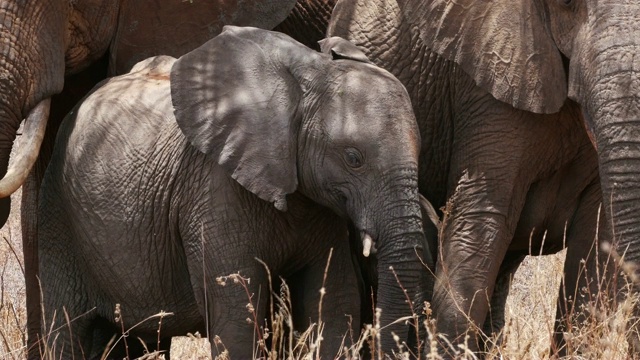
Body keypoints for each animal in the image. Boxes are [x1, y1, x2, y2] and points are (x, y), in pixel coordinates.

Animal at [38, 26, 430, 358]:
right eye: (353, 159)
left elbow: (334, 302)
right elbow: (236, 318)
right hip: (57, 210)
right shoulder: (213, 194)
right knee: (65, 328)